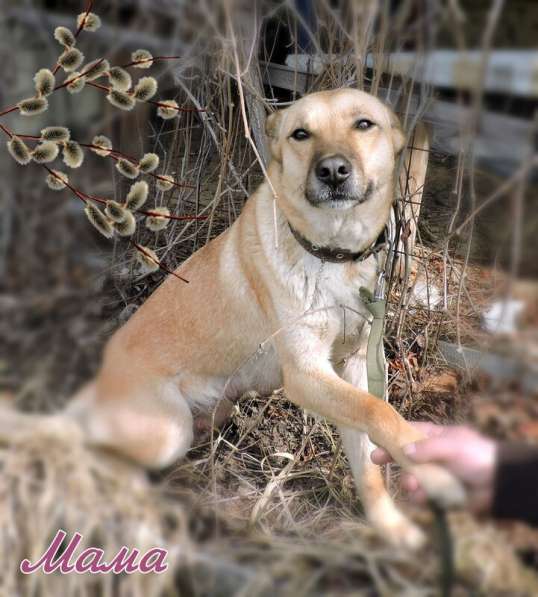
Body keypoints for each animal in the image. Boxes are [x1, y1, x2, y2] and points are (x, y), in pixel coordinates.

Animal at [65, 86, 460, 548]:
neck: (332, 256)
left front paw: (390, 525)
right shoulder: (306, 374)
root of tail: (94, 385)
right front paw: (435, 470)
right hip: (167, 429)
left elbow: (369, 450)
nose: (332, 171)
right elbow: (381, 413)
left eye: (364, 124)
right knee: (99, 458)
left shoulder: (357, 366)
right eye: (300, 133)